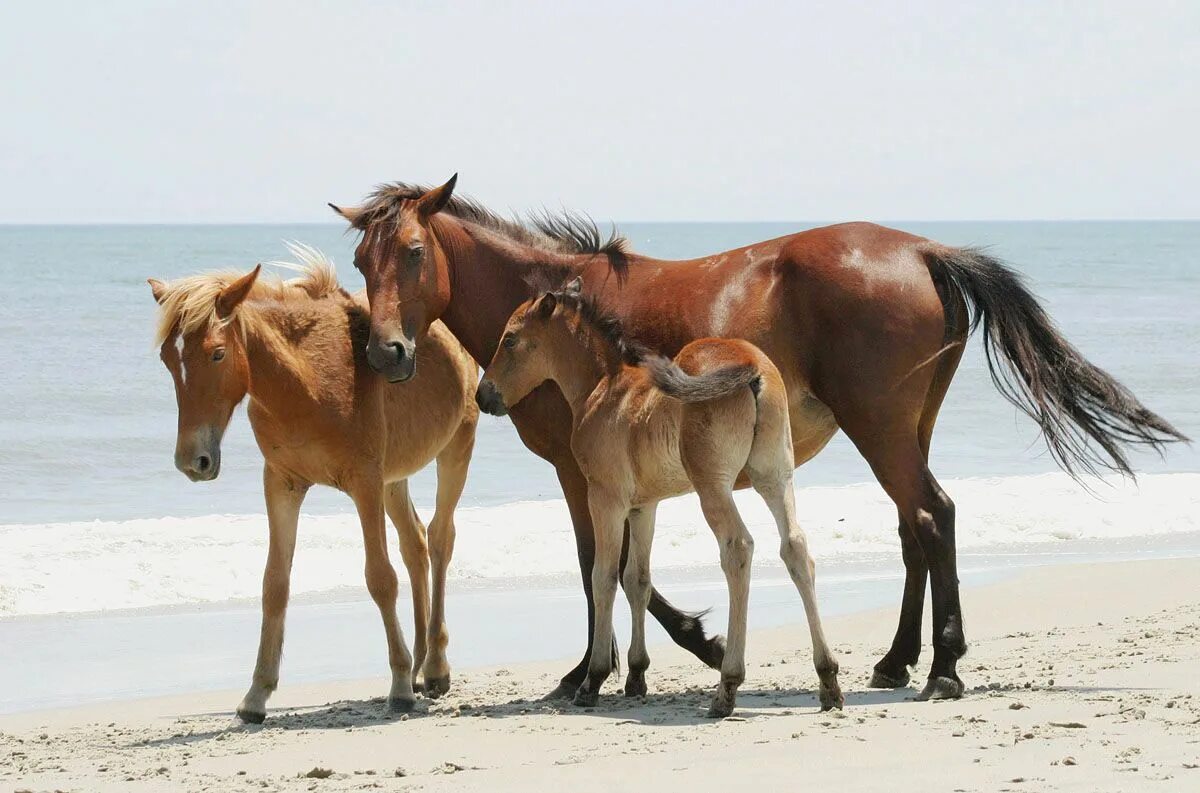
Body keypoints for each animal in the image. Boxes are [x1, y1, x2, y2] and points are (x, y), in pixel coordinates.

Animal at [152, 244, 480, 719]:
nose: (192, 461)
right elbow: (274, 584)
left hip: (455, 449)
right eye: (166, 358)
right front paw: (257, 694)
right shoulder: (283, 484)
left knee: (439, 539)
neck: (306, 381)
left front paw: (399, 684)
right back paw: (421, 665)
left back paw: (432, 667)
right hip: (393, 480)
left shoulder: (364, 482)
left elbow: (380, 578)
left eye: (216, 353)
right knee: (415, 545)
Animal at [472, 279, 840, 719]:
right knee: (795, 547)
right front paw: (636, 676)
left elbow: (603, 576)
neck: (605, 388)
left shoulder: (606, 498)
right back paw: (828, 679)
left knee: (737, 548)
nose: (483, 396)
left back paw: (727, 686)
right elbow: (638, 579)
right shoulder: (644, 505)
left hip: (713, 484)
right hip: (775, 475)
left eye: (509, 339)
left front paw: (593, 681)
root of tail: (751, 366)